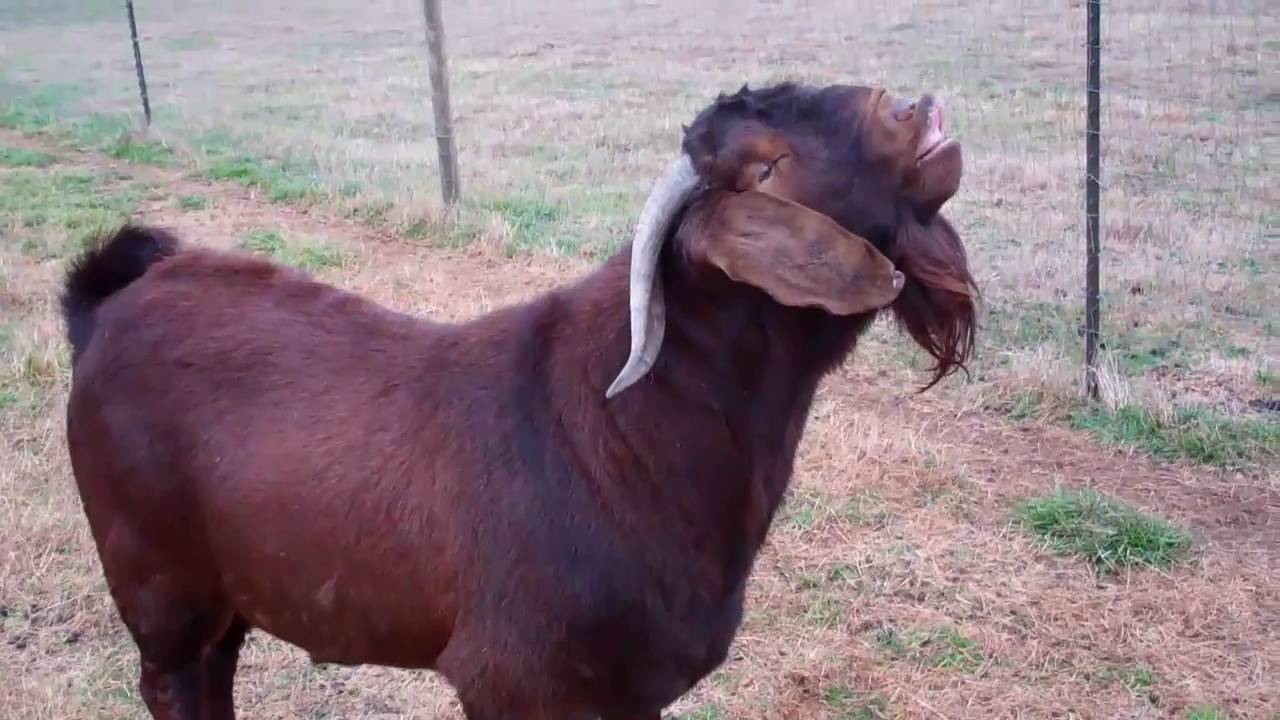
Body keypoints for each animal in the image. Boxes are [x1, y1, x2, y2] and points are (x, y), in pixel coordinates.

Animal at [61, 81, 977, 720]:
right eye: (767, 160)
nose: (908, 109)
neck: (630, 428)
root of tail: (107, 304)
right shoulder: (515, 680)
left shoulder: (631, 690)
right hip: (156, 581)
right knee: (172, 680)